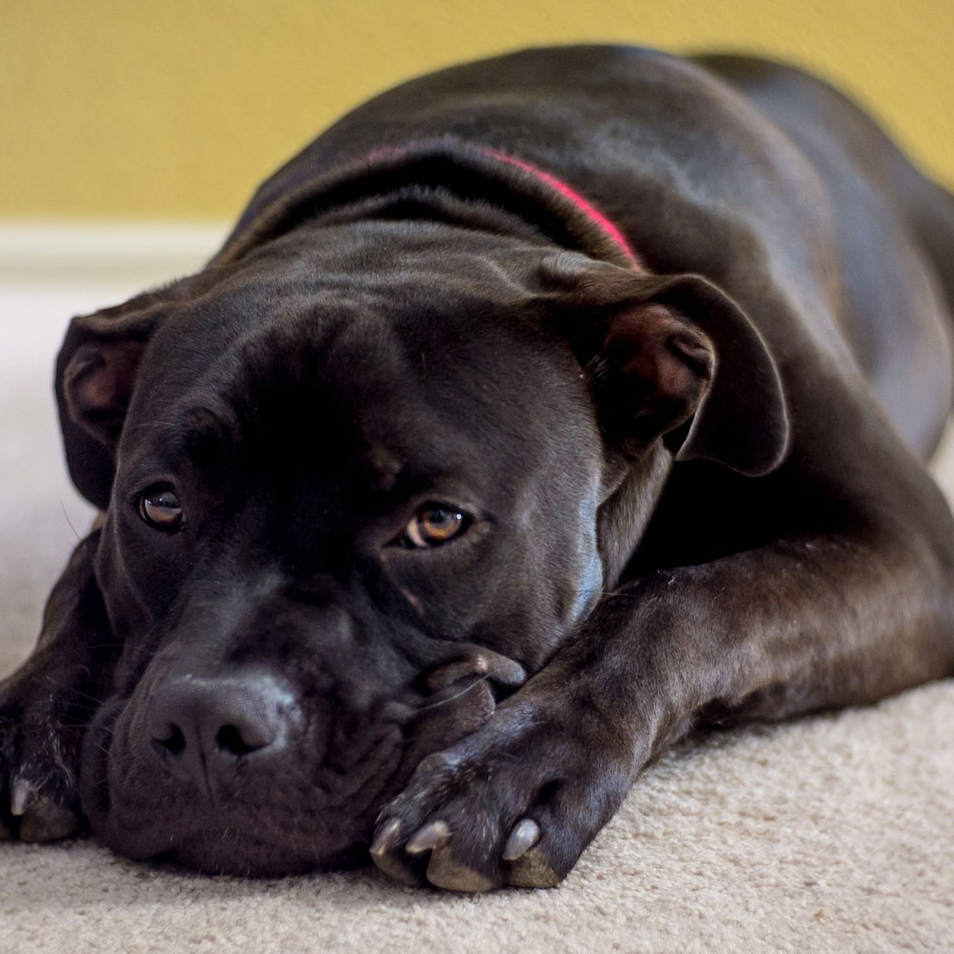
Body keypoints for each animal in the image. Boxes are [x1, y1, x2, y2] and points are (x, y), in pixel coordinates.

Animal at [1, 48, 952, 888]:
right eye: (160, 505)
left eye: (437, 524)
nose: (206, 722)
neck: (446, 204)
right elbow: (77, 576)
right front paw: (26, 718)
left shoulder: (907, 549)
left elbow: (681, 604)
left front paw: (511, 772)